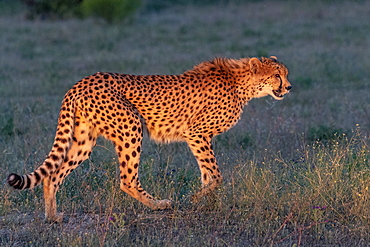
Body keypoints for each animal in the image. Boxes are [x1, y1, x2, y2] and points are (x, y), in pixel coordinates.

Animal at [7, 56, 292, 222]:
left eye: (286, 74)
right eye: (276, 75)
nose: (289, 87)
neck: (240, 83)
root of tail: (82, 82)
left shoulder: (200, 137)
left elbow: (208, 174)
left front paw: (208, 205)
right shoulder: (197, 133)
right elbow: (216, 175)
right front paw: (197, 200)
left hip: (83, 140)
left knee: (53, 175)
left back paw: (53, 217)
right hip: (131, 126)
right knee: (127, 179)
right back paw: (159, 205)